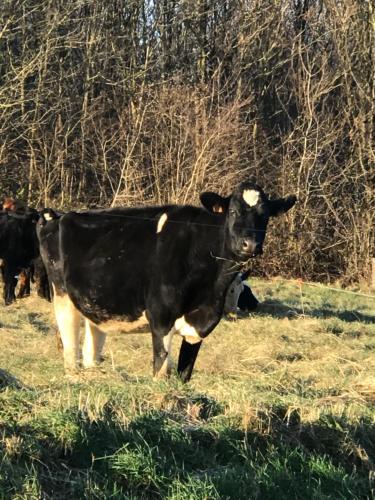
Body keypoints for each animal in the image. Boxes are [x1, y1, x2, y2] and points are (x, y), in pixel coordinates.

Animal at [37, 182, 296, 380]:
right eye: (232, 211)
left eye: (265, 216)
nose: (250, 244)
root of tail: (59, 214)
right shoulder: (161, 318)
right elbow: (161, 371)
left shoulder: (199, 326)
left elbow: (185, 374)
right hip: (62, 297)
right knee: (70, 352)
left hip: (97, 304)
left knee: (91, 348)